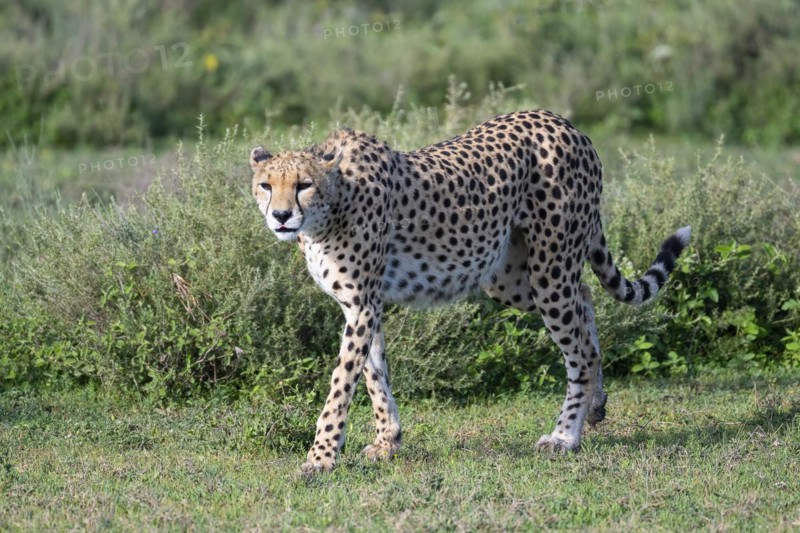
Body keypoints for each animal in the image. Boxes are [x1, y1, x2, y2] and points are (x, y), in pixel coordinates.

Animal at [249, 110, 691, 473]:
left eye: (304, 185)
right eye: (266, 185)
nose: (281, 216)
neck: (331, 206)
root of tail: (564, 123)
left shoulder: (362, 305)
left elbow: (342, 381)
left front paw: (321, 457)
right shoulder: (360, 304)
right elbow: (374, 374)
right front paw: (387, 441)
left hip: (549, 269)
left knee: (579, 349)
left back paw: (565, 436)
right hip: (508, 276)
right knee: (584, 299)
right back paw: (596, 405)